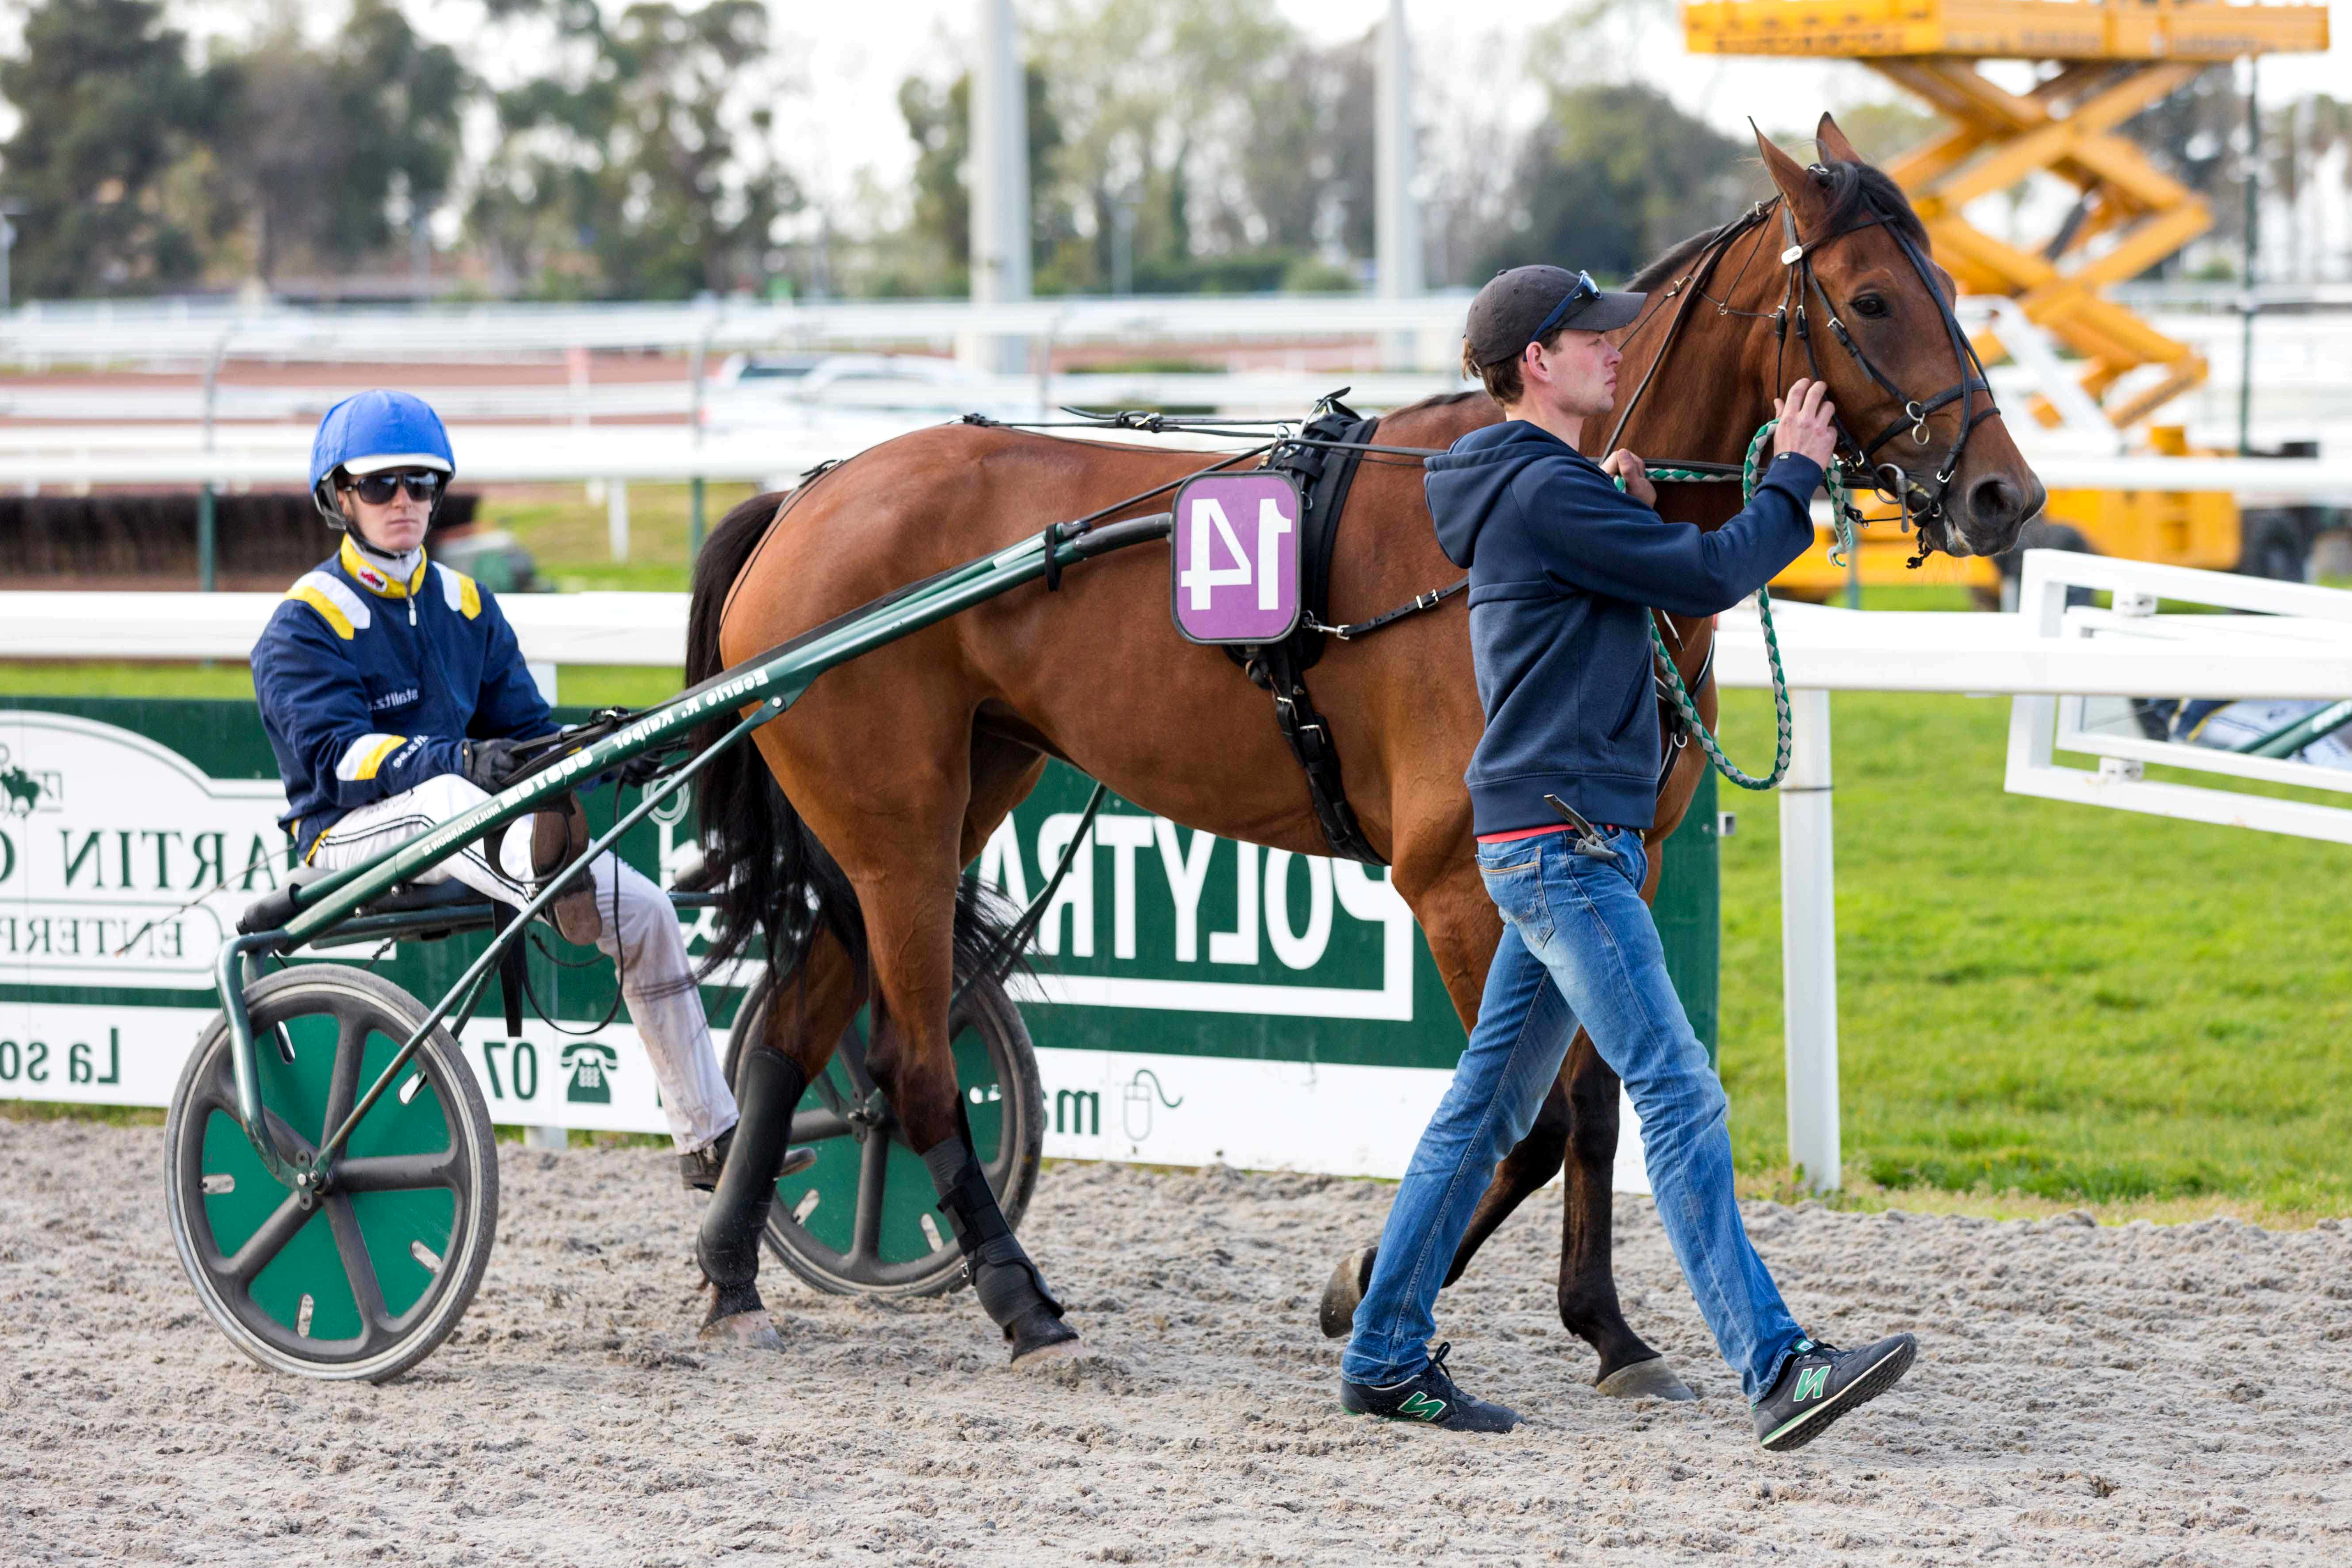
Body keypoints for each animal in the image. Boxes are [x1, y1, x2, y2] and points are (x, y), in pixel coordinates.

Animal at [677, 116, 2041, 1382]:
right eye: (1872, 298)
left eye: (1950, 286)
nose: (2006, 495)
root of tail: (808, 496)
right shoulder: (1458, 880)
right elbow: (1523, 1125)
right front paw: (1367, 1285)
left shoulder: (1615, 863)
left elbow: (1595, 1110)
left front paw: (1606, 1328)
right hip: (900, 833)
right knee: (910, 1063)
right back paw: (1025, 1306)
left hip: (941, 805)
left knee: (795, 1030)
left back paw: (734, 1279)